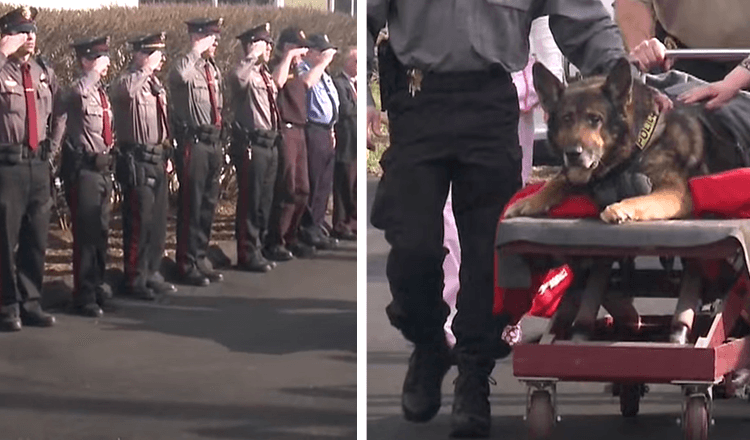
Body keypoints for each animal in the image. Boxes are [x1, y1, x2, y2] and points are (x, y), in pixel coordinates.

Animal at [508, 56, 744, 342]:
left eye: (595, 119)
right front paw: (529, 200)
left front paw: (620, 208)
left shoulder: (676, 194)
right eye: (566, 119)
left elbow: (644, 200)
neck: (637, 144)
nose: (573, 153)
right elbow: (558, 180)